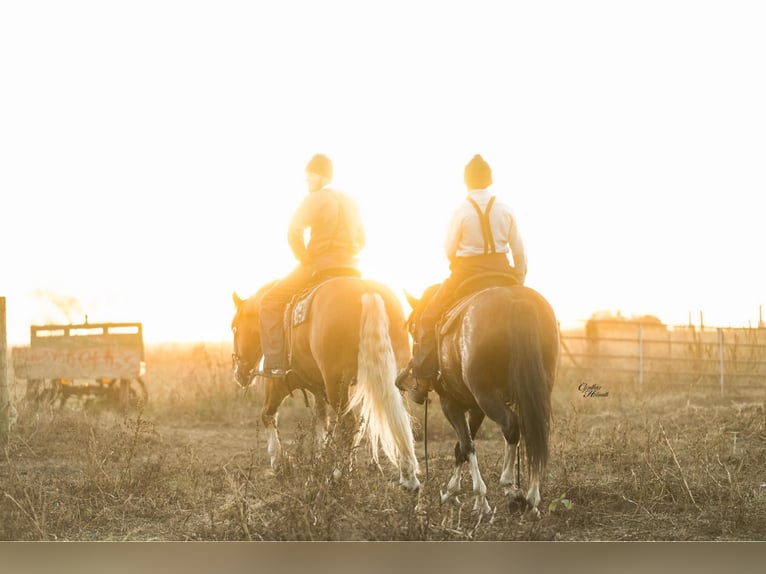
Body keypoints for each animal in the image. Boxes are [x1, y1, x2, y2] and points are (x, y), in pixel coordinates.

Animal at [231, 276, 420, 491]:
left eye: (235, 328)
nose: (238, 374)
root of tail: (367, 292)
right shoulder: (318, 389)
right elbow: (322, 421)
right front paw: (324, 461)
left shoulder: (278, 384)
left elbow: (267, 415)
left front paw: (280, 464)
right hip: (395, 379)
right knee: (399, 420)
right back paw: (408, 477)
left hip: (335, 384)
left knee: (349, 424)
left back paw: (338, 475)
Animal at [404, 277, 559, 516]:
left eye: (412, 328)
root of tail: (516, 300)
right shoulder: (476, 408)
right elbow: (461, 447)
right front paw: (454, 494)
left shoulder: (451, 404)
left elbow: (466, 445)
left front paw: (477, 498)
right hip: (535, 392)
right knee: (535, 434)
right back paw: (532, 500)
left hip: (487, 396)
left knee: (511, 426)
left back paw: (510, 488)